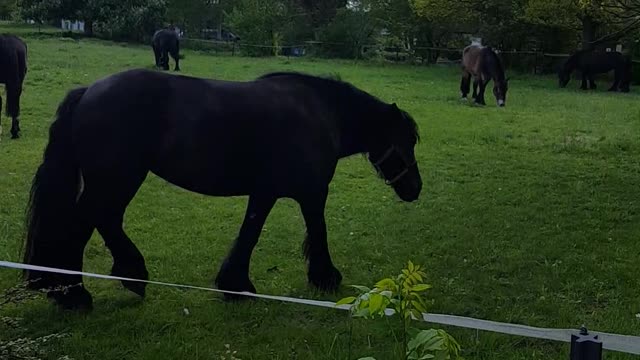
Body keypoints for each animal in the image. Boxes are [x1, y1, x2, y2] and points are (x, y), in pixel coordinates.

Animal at [20, 69, 422, 310]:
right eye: (406, 141)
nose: (415, 188)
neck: (319, 114)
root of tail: (88, 91)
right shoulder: (311, 192)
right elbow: (315, 231)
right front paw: (325, 277)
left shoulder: (266, 191)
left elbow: (249, 233)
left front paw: (234, 284)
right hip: (118, 178)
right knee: (87, 222)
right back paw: (78, 294)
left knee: (103, 220)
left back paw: (122, 276)